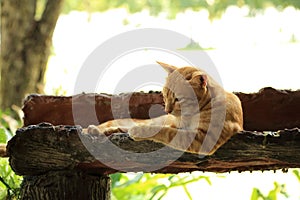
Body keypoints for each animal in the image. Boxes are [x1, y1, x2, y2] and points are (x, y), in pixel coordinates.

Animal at [83, 61, 243, 155]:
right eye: (165, 95)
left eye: (178, 99)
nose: (167, 110)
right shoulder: (176, 126)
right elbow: (165, 129)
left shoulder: (204, 138)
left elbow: (165, 132)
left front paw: (139, 132)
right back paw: (92, 130)